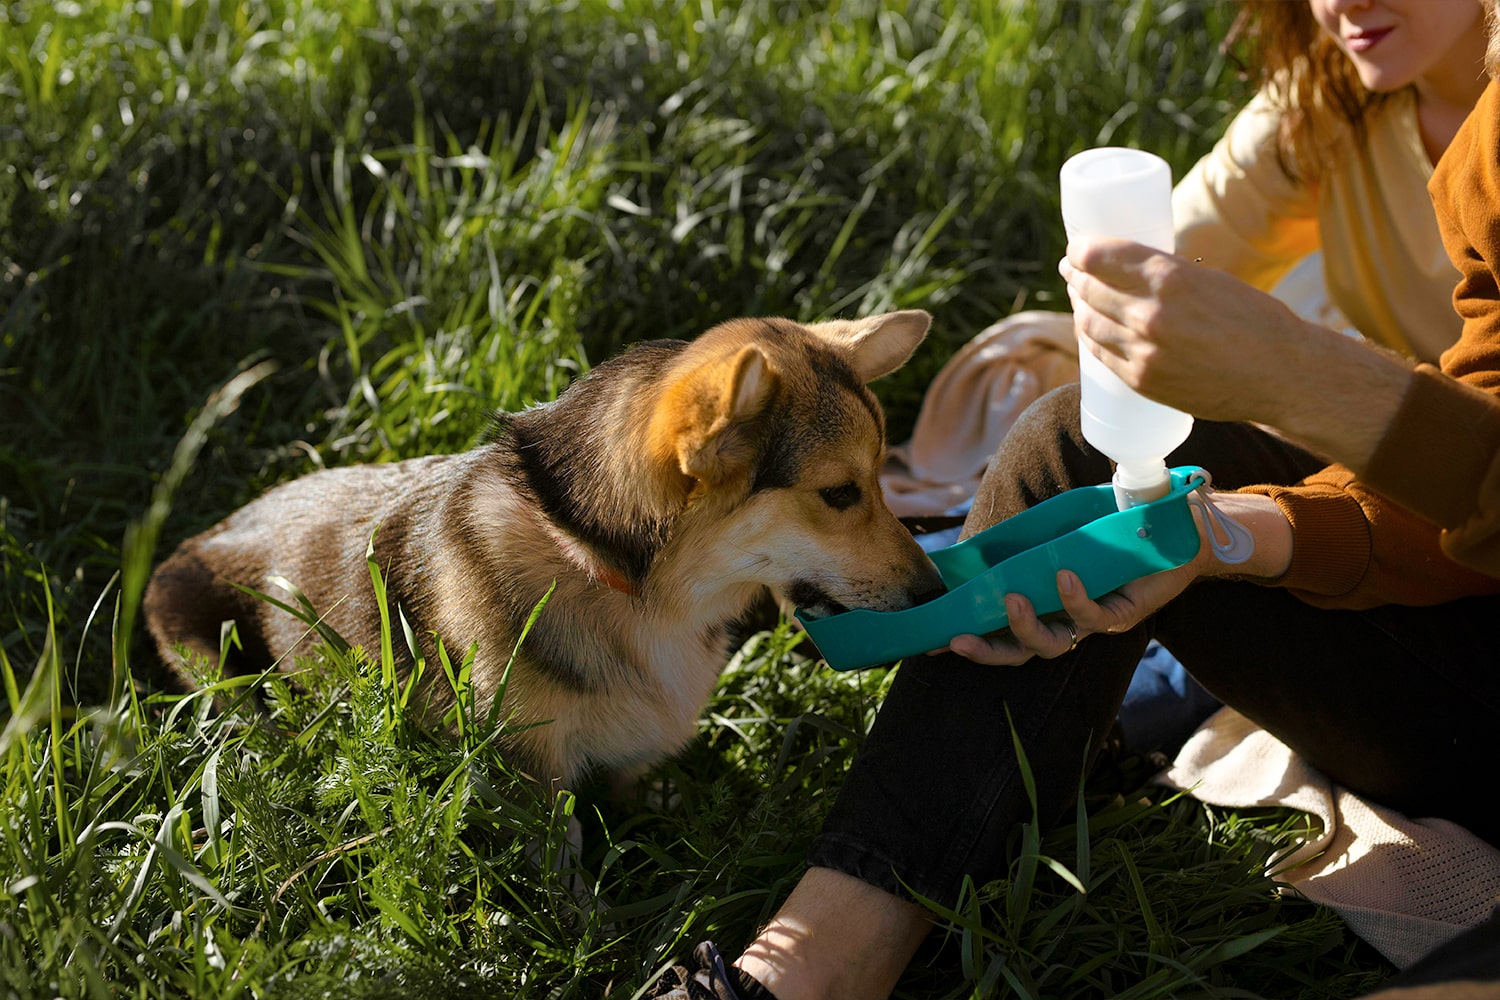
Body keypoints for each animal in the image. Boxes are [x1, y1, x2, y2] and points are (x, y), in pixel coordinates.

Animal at [141, 308, 936, 791]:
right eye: (840, 493)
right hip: (216, 670)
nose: (934, 596)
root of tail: (202, 533)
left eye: (882, 477)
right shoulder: (531, 766)